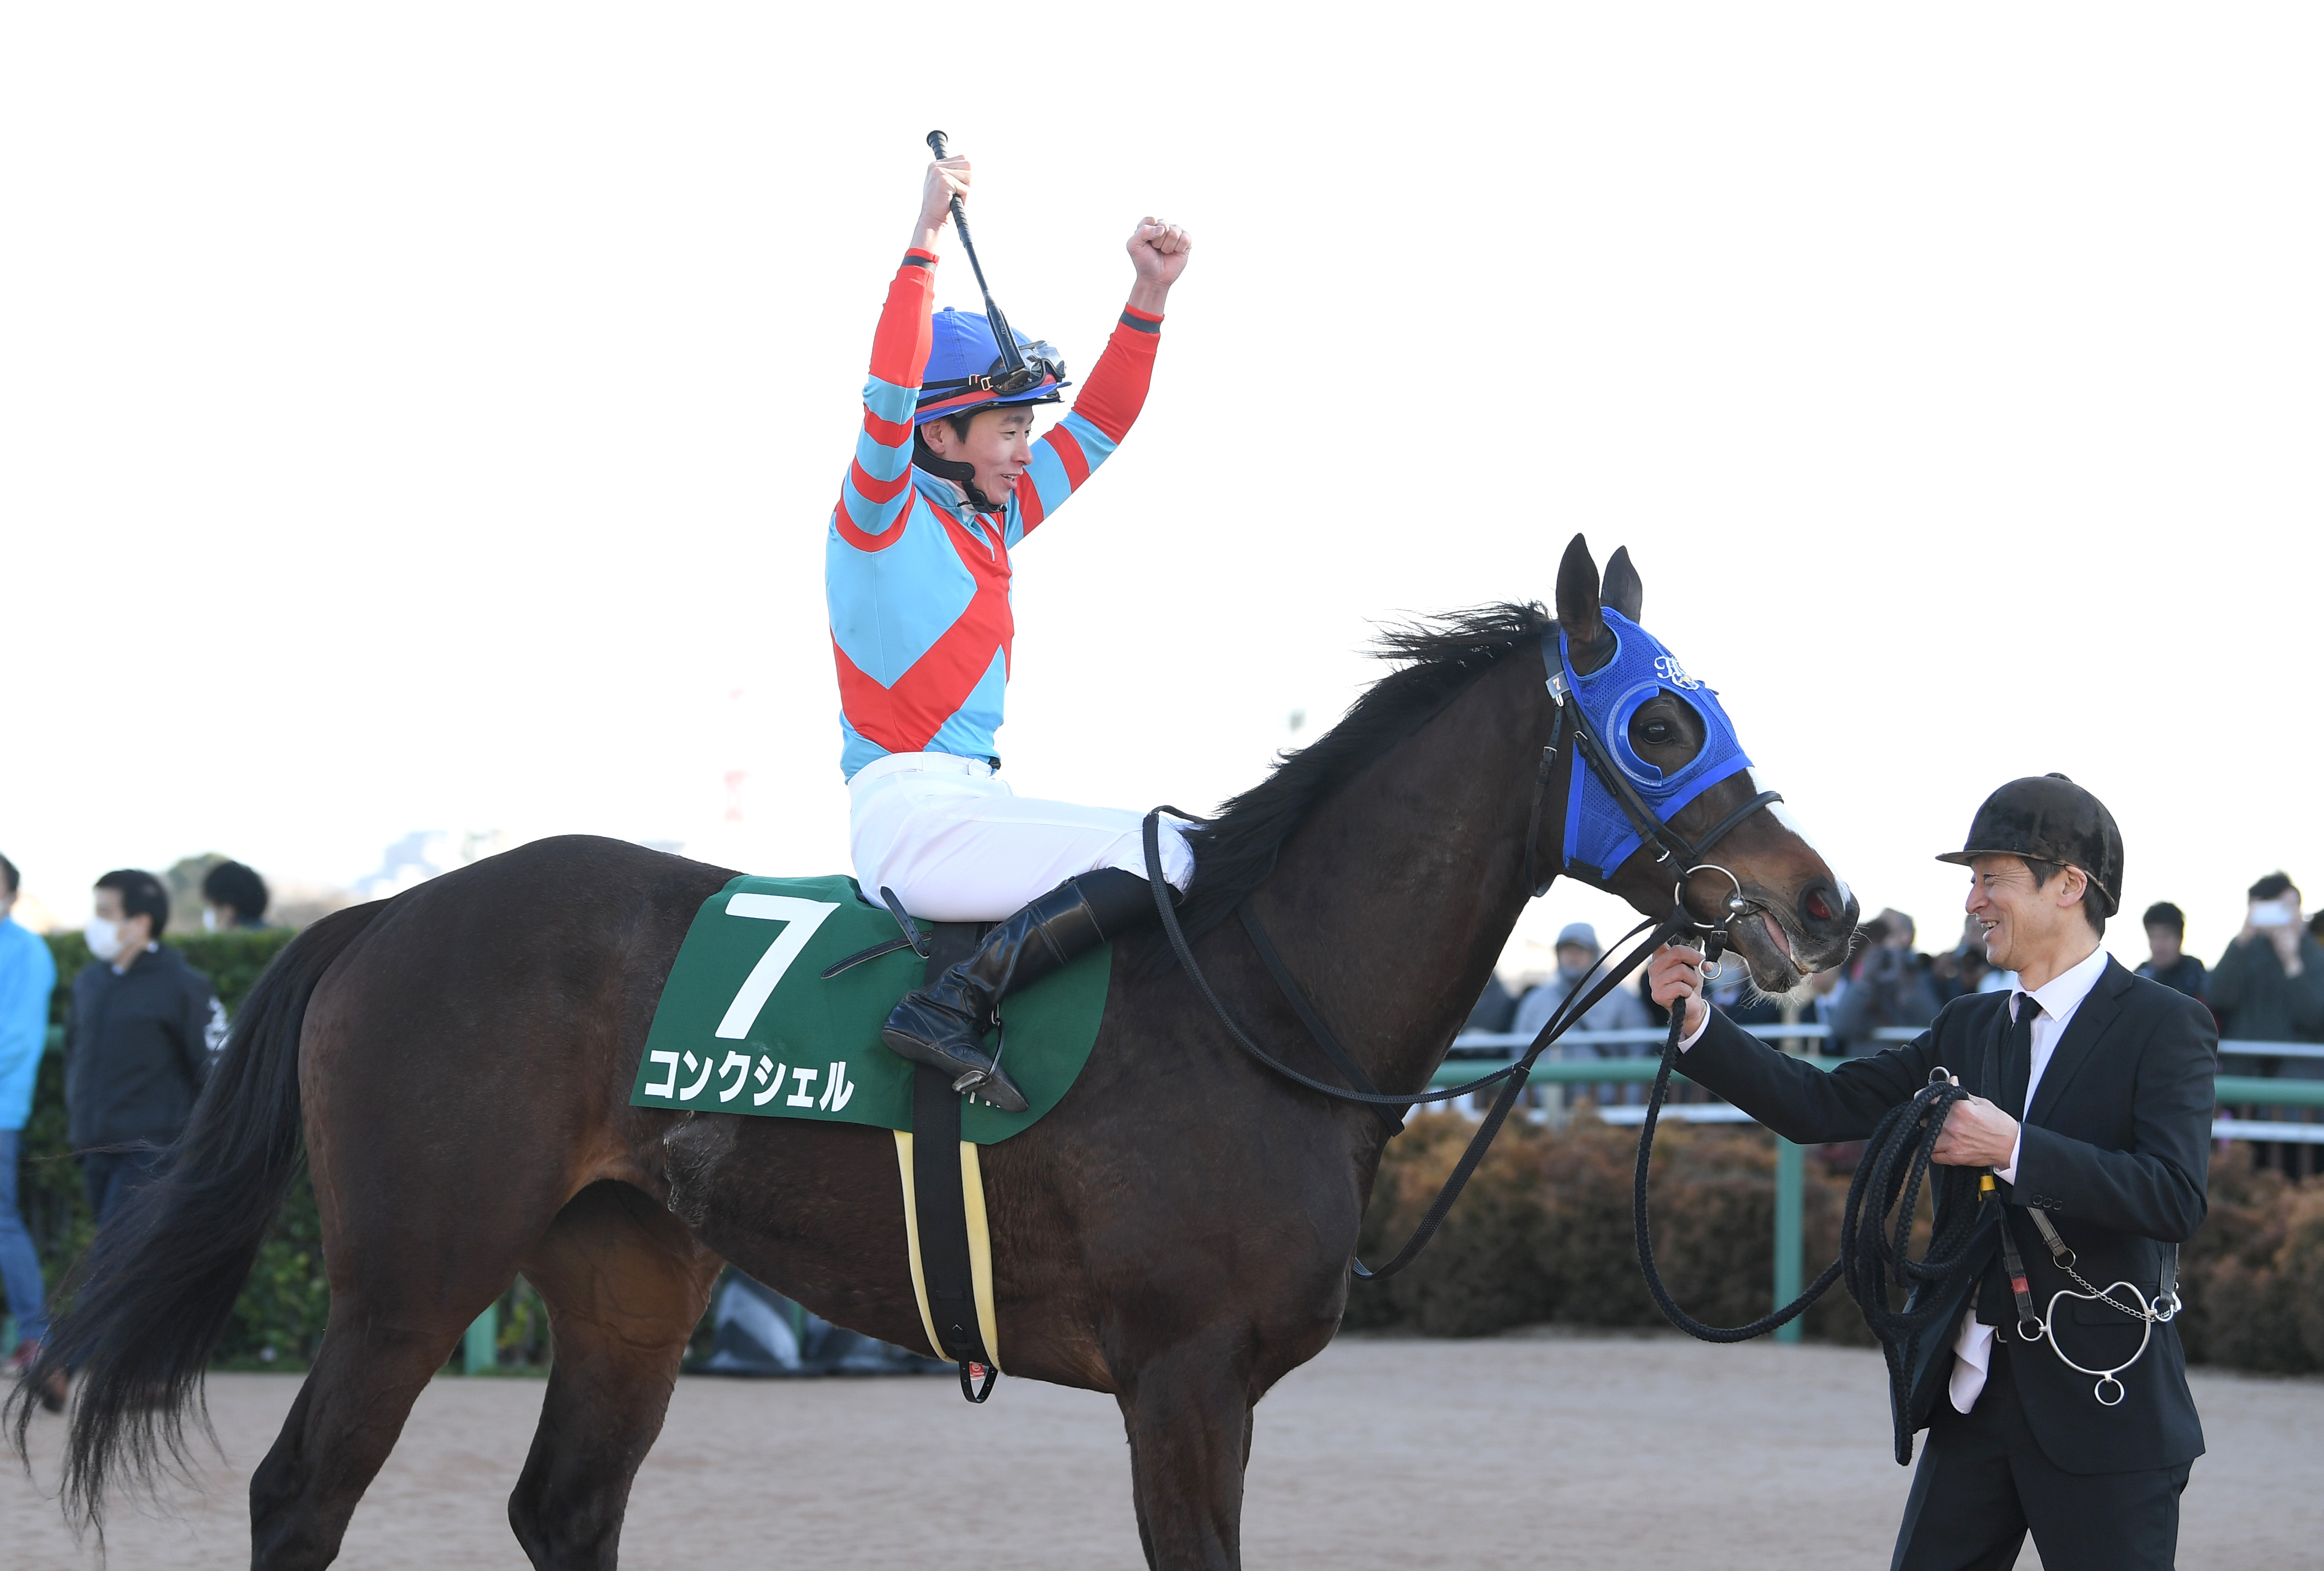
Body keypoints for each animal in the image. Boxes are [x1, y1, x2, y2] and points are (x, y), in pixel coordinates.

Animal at [13, 536, 1859, 1569]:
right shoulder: (1180, 1381)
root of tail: (386, 915)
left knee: (564, 1510)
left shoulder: (1214, 1389)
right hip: (410, 1276)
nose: (1817, 901)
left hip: (628, 1276)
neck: (1263, 1008)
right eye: (1661, 721)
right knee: (299, 1498)